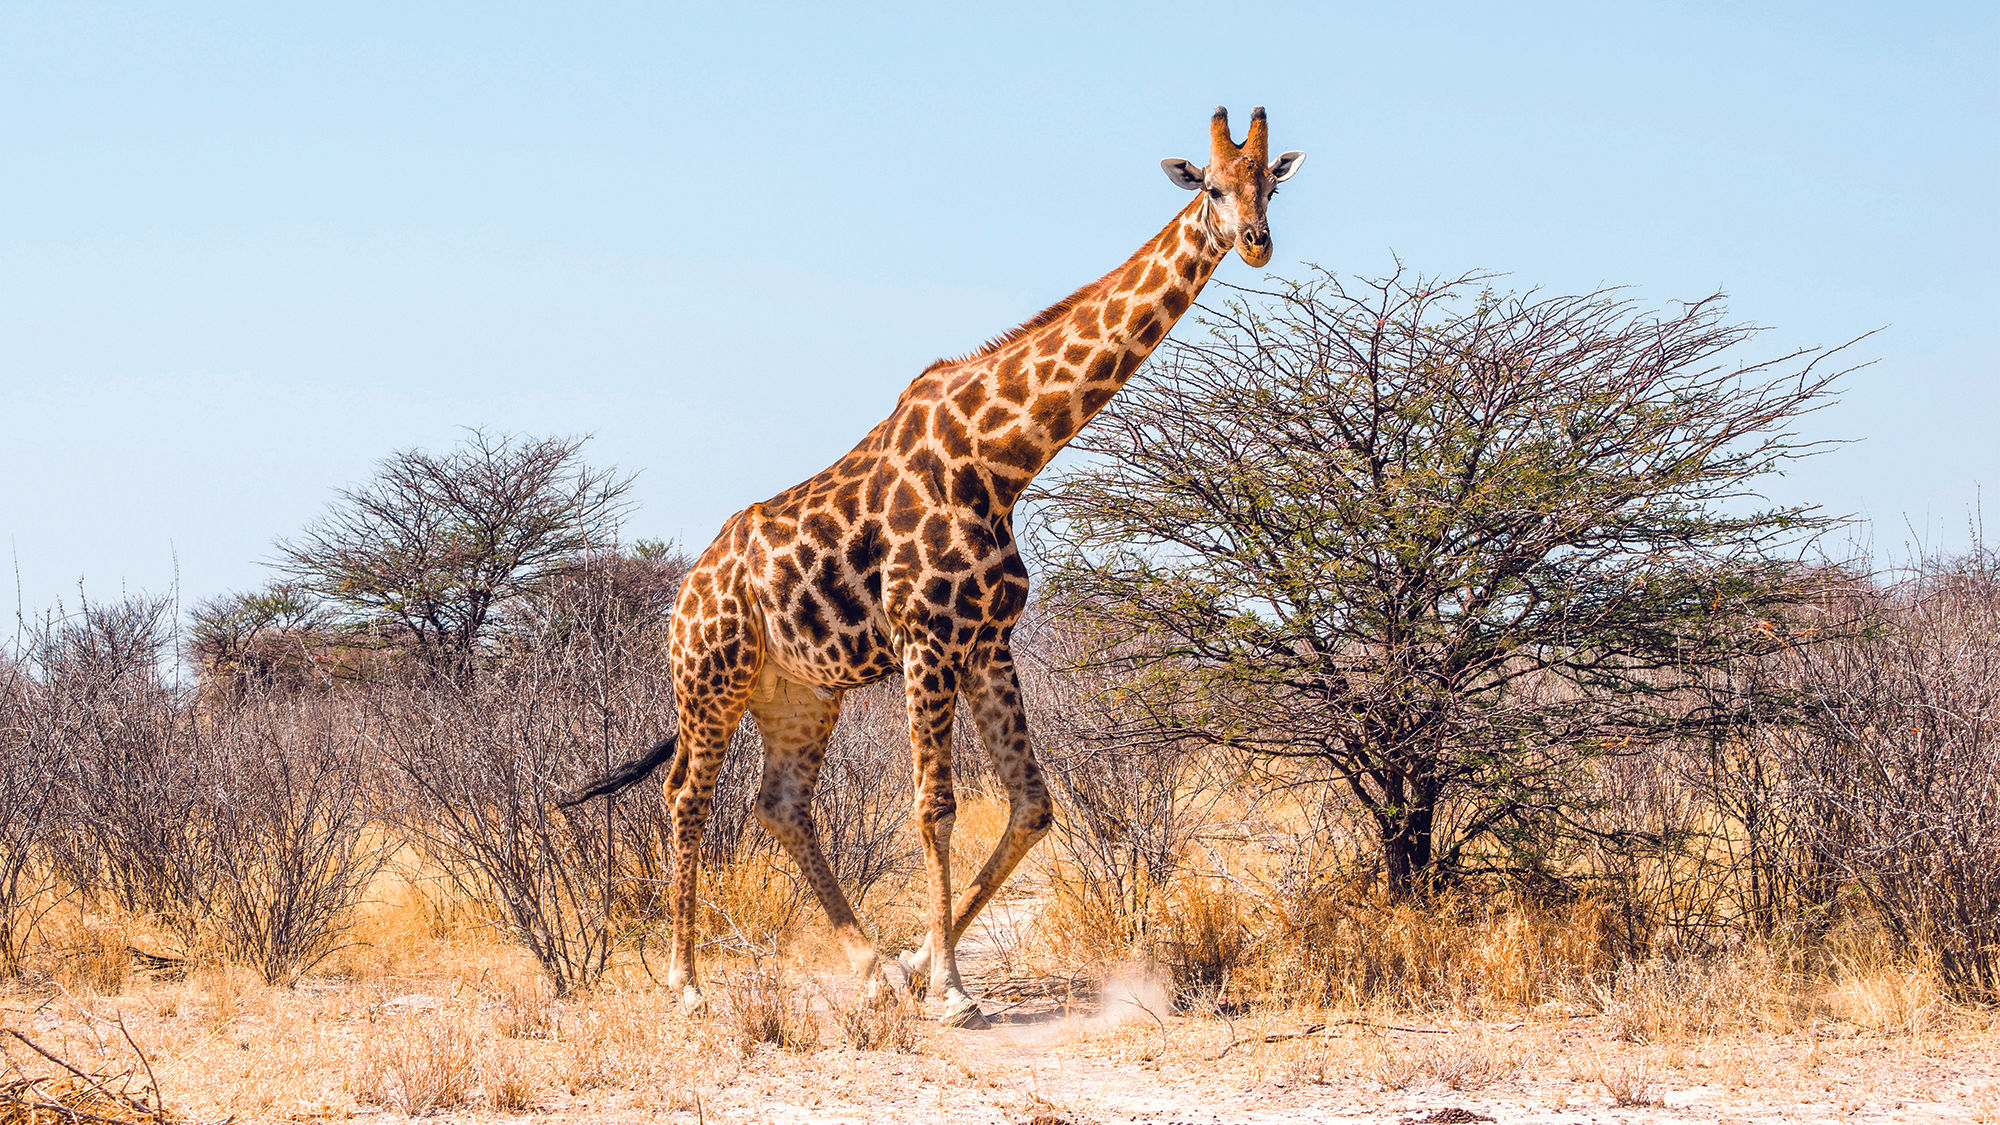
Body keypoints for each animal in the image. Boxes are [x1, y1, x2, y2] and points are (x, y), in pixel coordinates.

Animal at [565, 107, 1304, 1028]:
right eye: (1211, 188)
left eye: (1270, 184)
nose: (1257, 242)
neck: (1004, 457)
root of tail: (683, 593)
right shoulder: (928, 638)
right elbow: (935, 807)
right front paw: (950, 990)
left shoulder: (986, 642)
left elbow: (1032, 804)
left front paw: (920, 963)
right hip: (711, 678)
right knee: (685, 796)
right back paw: (688, 981)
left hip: (799, 693)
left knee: (780, 804)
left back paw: (872, 969)